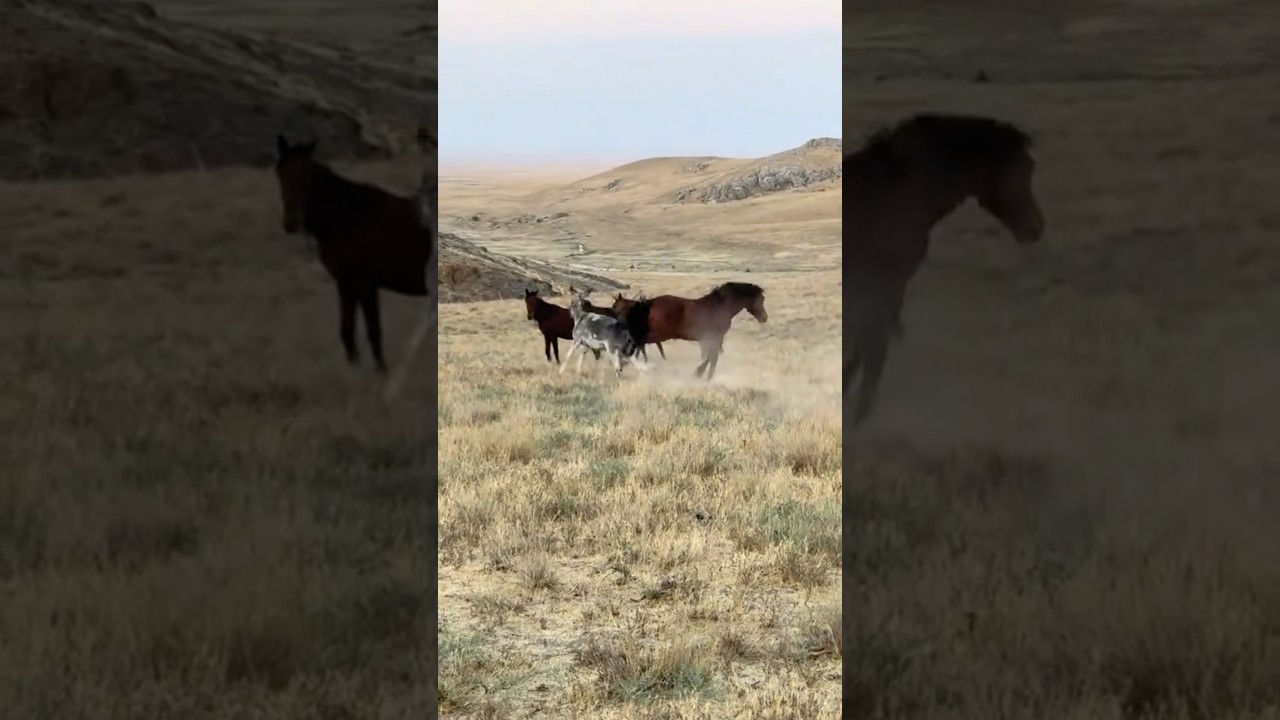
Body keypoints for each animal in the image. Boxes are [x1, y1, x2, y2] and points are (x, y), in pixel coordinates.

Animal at [273, 134, 432, 373]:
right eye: (280, 173)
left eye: (307, 175)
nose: (291, 223)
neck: (352, 219)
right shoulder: (345, 281)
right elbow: (347, 326)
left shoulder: (365, 284)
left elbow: (373, 330)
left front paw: (381, 370)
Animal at [619, 282, 767, 381]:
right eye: (761, 299)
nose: (764, 318)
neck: (722, 306)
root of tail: (648, 303)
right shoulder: (715, 338)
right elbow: (712, 358)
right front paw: (703, 374)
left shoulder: (709, 339)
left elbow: (709, 356)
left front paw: (700, 373)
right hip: (654, 335)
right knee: (635, 347)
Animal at [845, 113, 1045, 425]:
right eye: (1023, 168)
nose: (1036, 229)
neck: (904, 191)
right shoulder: (883, 286)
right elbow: (872, 347)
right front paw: (859, 414)